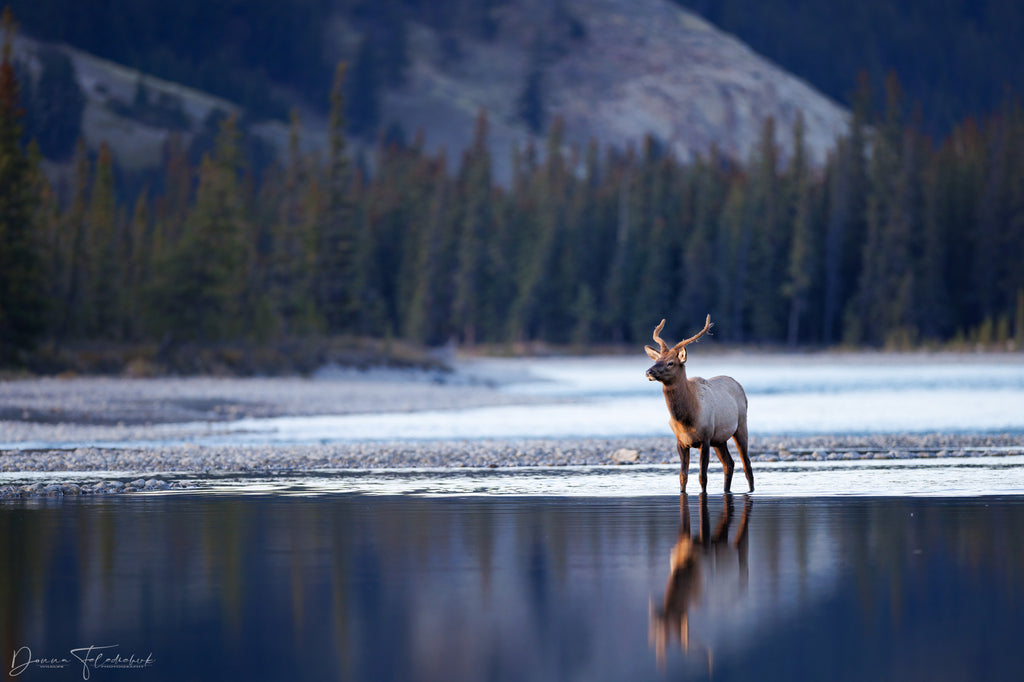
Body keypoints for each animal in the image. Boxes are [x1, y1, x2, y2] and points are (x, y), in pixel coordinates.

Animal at [647, 315, 753, 491]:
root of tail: (738, 383)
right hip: (720, 439)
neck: (686, 419)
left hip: (741, 426)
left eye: (670, 362)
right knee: (729, 464)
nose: (649, 371)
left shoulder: (705, 439)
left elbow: (702, 477)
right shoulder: (681, 442)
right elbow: (683, 476)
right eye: (657, 360)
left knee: (747, 464)